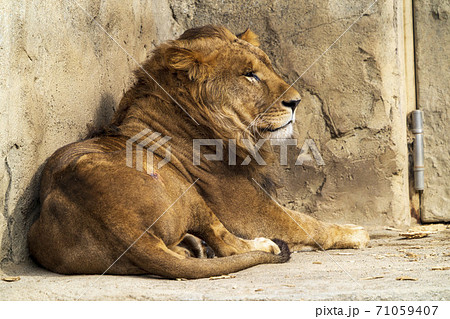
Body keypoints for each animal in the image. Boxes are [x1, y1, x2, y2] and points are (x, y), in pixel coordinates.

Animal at [29, 25, 370, 280]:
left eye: (268, 67)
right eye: (249, 74)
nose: (296, 102)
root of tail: (115, 221)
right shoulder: (250, 210)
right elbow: (308, 223)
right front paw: (354, 232)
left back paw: (191, 247)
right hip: (187, 190)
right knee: (227, 243)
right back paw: (261, 246)